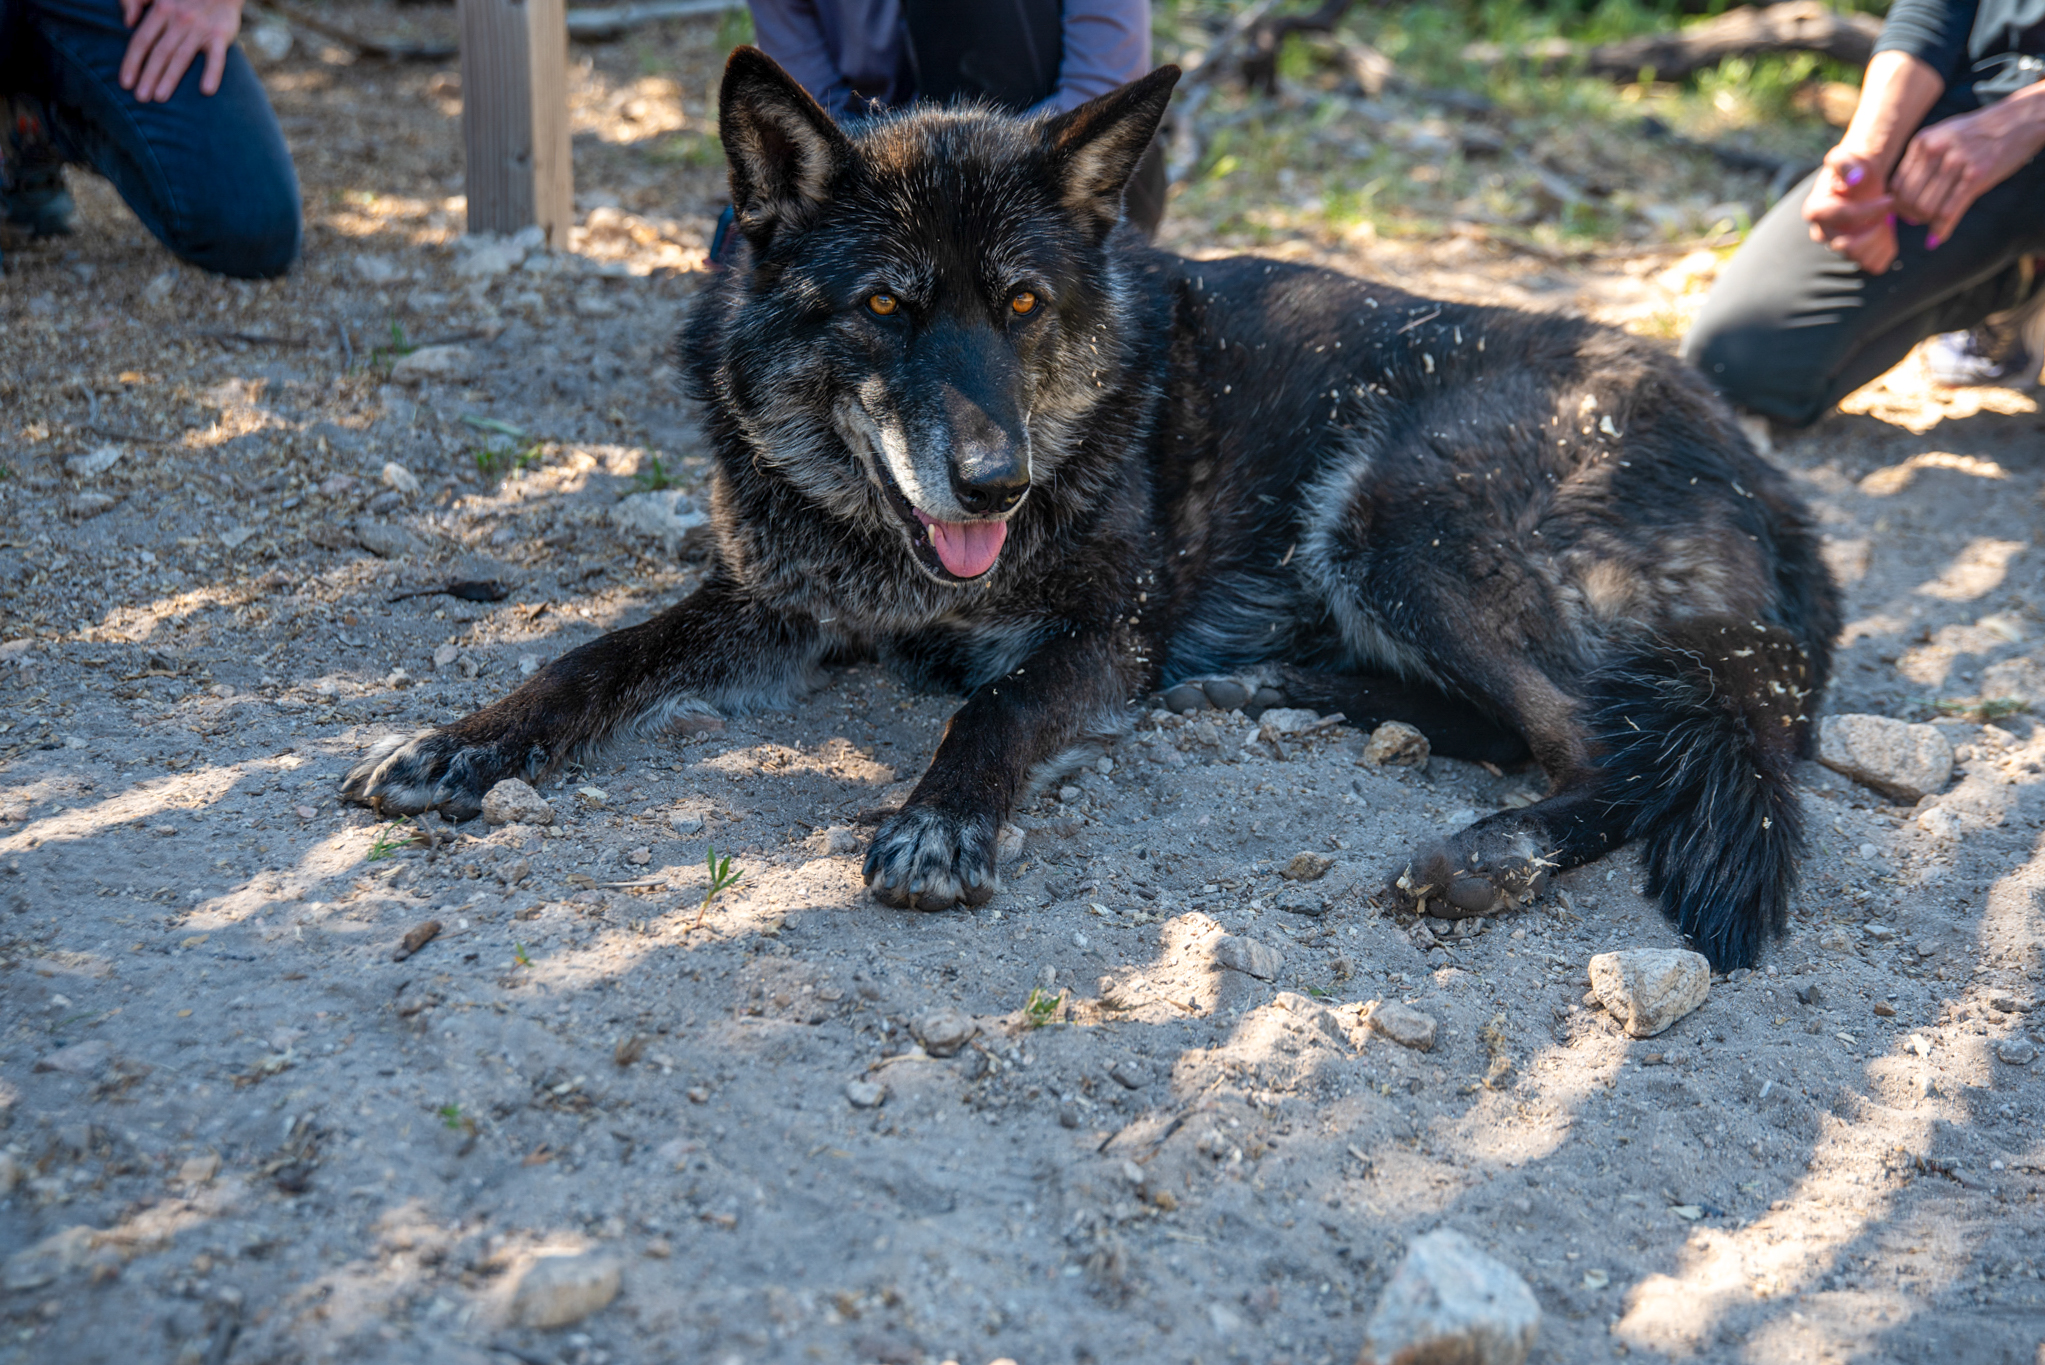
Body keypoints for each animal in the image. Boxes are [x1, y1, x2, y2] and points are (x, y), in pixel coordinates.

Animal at [343, 48, 1839, 970]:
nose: (997, 483)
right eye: (884, 304)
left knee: (1604, 748)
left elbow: (994, 704)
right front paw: (457, 746)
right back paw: (1267, 688)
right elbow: (591, 658)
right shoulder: (764, 602)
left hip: (1394, 516)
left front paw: (941, 821)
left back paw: (1490, 850)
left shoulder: (1100, 630)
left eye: (1019, 304)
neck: (901, 565)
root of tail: (1761, 476)